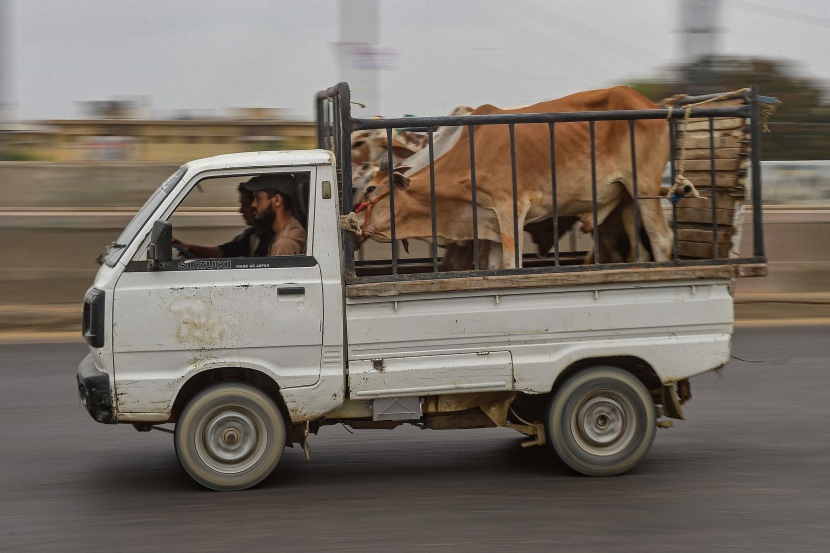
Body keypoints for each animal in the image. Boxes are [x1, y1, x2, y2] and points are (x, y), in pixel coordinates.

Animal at [354, 85, 672, 268]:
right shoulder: (489, 225)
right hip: (626, 199)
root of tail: (653, 105)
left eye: (371, 188)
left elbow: (512, 265)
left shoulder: (511, 209)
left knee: (662, 240)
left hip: (644, 185)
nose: (351, 220)